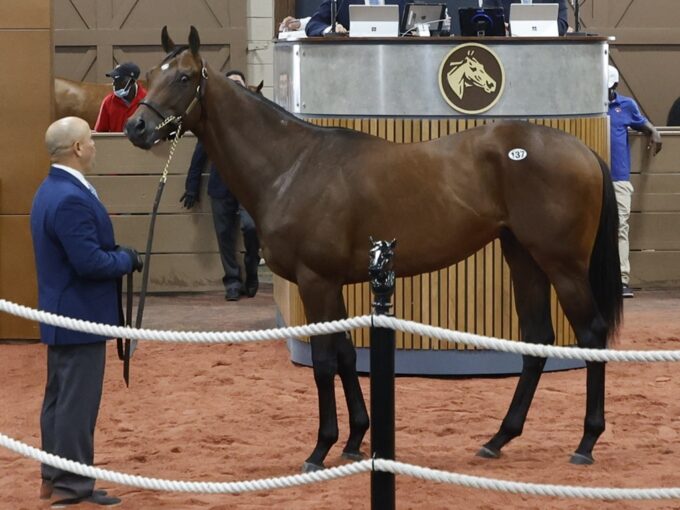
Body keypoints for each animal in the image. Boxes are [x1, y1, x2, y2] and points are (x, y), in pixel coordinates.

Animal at [125, 27, 624, 472]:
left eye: (184, 77)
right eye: (150, 74)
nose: (136, 126)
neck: (293, 164)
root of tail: (580, 149)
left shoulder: (315, 281)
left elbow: (324, 362)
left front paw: (321, 448)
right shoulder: (333, 284)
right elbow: (347, 355)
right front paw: (354, 441)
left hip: (562, 265)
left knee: (592, 334)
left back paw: (586, 442)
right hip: (523, 257)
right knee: (537, 339)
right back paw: (499, 438)